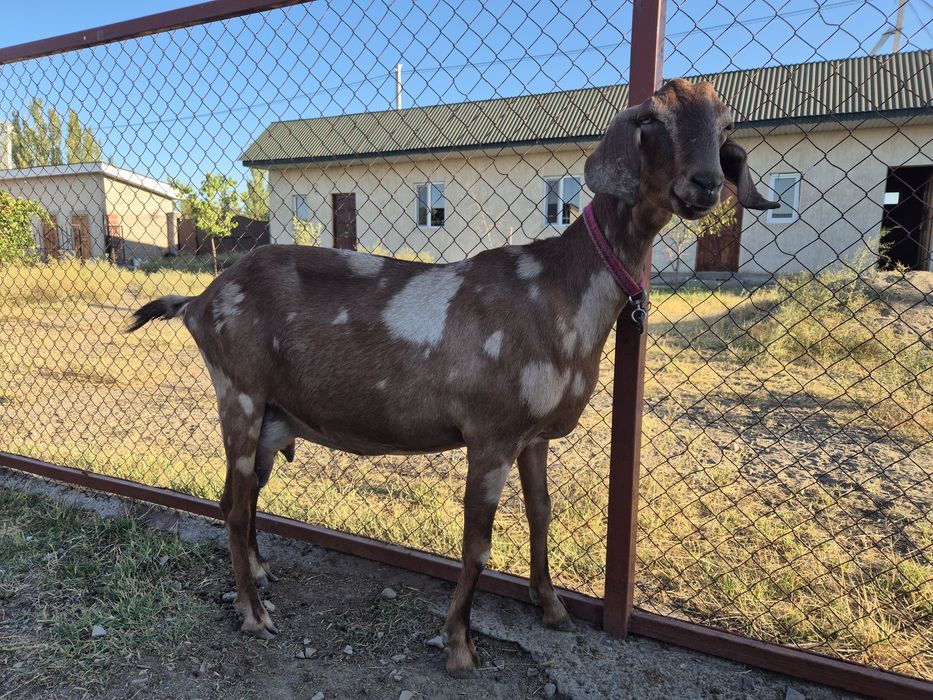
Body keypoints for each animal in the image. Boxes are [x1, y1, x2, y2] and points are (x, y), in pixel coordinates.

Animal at [129, 79, 777, 677]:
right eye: (651, 122)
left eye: (725, 126)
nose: (705, 184)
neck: (558, 288)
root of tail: (199, 301)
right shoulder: (490, 435)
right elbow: (477, 547)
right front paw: (460, 645)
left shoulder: (532, 436)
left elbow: (542, 513)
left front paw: (551, 606)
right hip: (239, 394)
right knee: (235, 508)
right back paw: (253, 613)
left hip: (271, 418)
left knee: (240, 498)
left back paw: (262, 573)